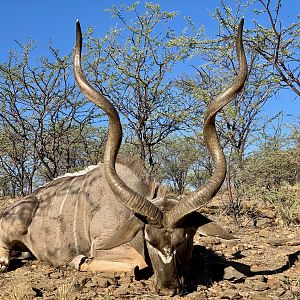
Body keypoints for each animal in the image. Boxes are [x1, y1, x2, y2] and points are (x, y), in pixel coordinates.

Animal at [0, 19, 246, 296]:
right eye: (149, 239)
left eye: (184, 239)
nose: (167, 289)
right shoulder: (106, 248)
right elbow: (135, 264)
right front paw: (78, 261)